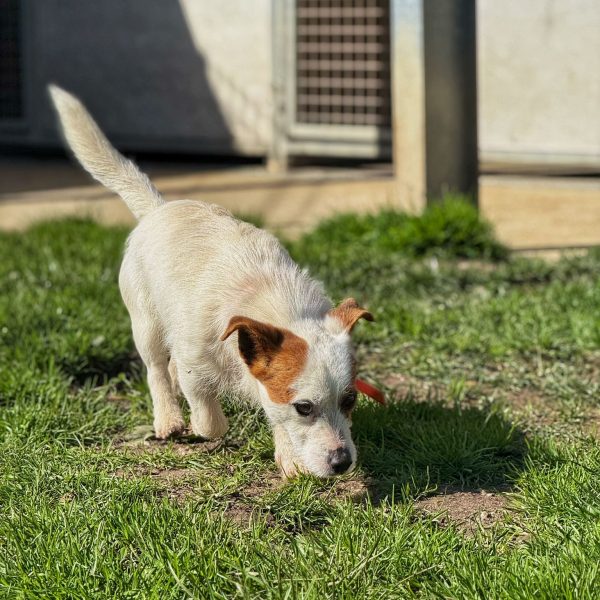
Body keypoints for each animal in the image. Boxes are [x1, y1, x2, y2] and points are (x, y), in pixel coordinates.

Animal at [49, 85, 373, 478]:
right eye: (304, 407)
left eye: (350, 399)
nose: (342, 462)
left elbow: (271, 411)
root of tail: (158, 208)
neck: (273, 301)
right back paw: (168, 418)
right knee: (157, 369)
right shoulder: (195, 361)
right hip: (146, 324)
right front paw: (202, 422)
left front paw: (289, 457)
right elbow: (209, 419)